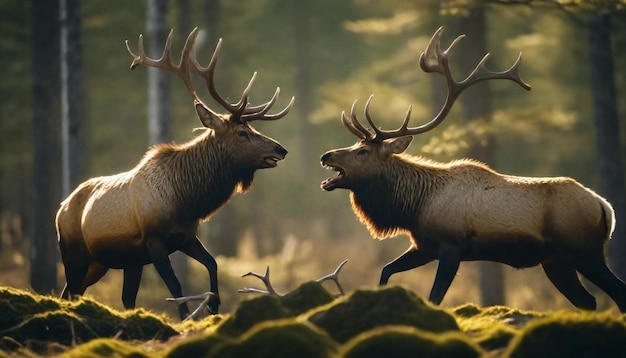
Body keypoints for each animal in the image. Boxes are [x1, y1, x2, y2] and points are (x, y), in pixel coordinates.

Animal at [56, 28, 292, 318]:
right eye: (242, 133)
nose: (281, 149)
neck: (188, 200)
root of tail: (61, 208)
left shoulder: (185, 237)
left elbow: (212, 263)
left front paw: (214, 305)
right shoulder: (154, 241)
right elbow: (176, 286)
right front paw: (187, 317)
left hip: (109, 262)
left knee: (99, 294)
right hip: (73, 253)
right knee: (70, 290)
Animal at [320, 27, 620, 314]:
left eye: (363, 151)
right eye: (355, 145)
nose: (326, 155)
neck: (414, 207)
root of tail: (605, 207)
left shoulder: (451, 246)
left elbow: (435, 296)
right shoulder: (423, 246)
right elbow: (385, 271)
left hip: (585, 251)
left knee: (616, 291)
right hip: (557, 260)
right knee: (588, 300)